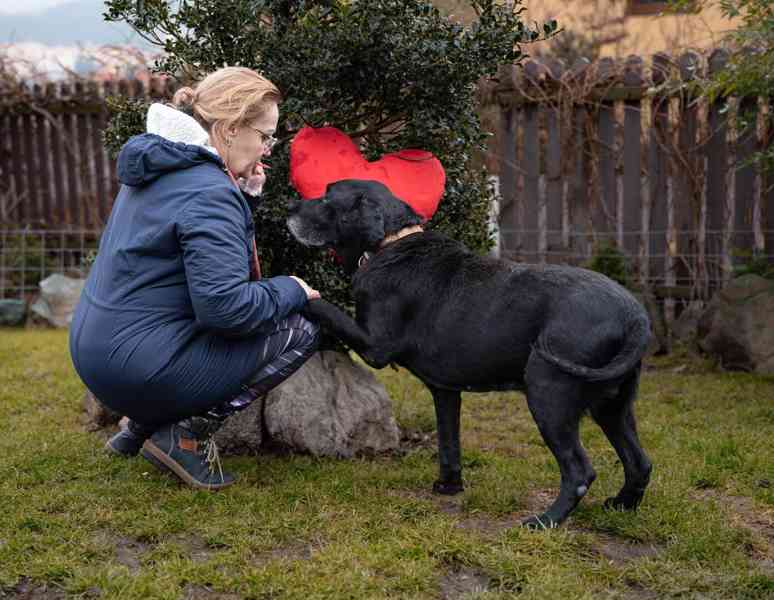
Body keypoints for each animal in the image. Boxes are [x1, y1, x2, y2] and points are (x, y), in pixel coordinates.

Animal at [288, 180, 652, 528]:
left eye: (327, 196)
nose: (290, 206)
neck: (390, 242)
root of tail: (635, 317)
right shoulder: (445, 391)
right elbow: (449, 443)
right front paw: (449, 486)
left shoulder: (374, 345)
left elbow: (326, 307)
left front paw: (297, 289)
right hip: (612, 406)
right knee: (640, 462)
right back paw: (621, 506)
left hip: (550, 394)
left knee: (579, 472)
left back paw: (544, 521)